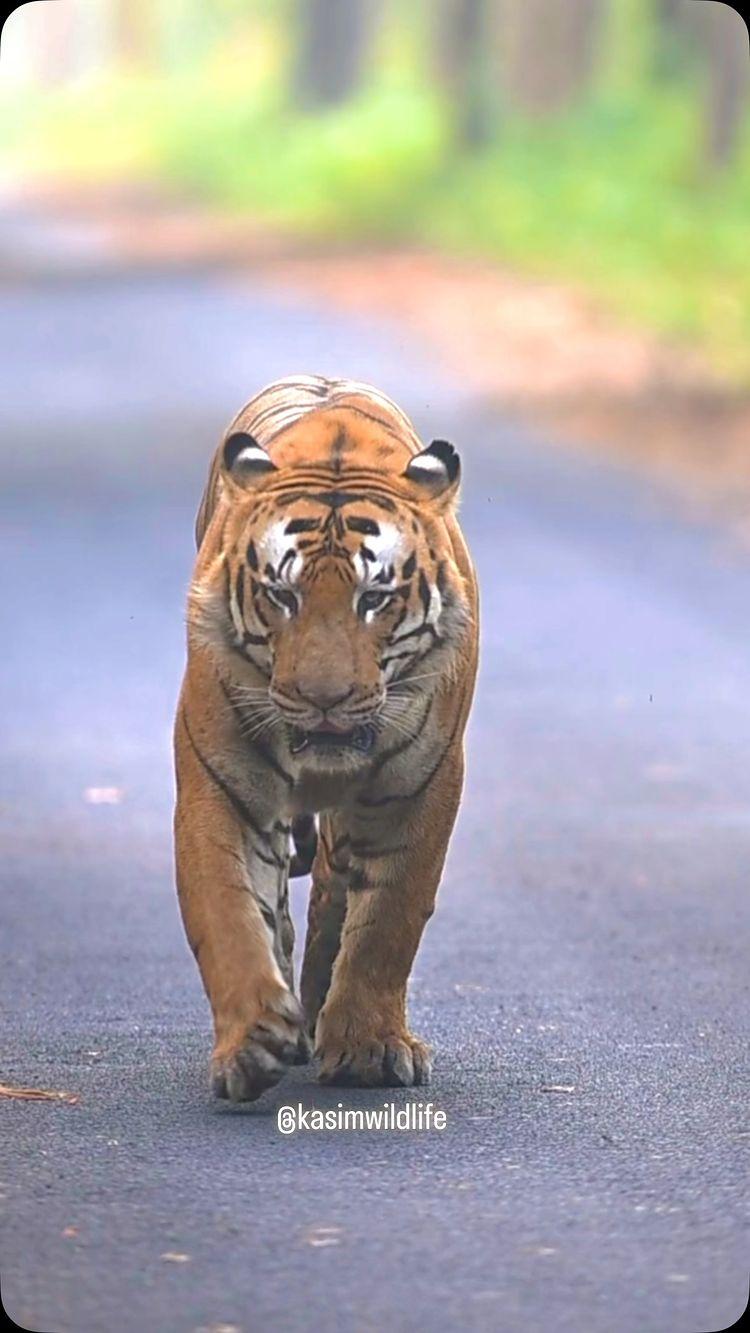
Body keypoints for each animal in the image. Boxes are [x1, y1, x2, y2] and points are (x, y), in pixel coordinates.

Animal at [175, 370, 479, 1098]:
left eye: (375, 598)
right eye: (281, 596)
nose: (324, 700)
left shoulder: (418, 788)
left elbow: (387, 921)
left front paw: (369, 1047)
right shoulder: (219, 782)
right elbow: (227, 911)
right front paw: (253, 1039)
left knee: (336, 900)